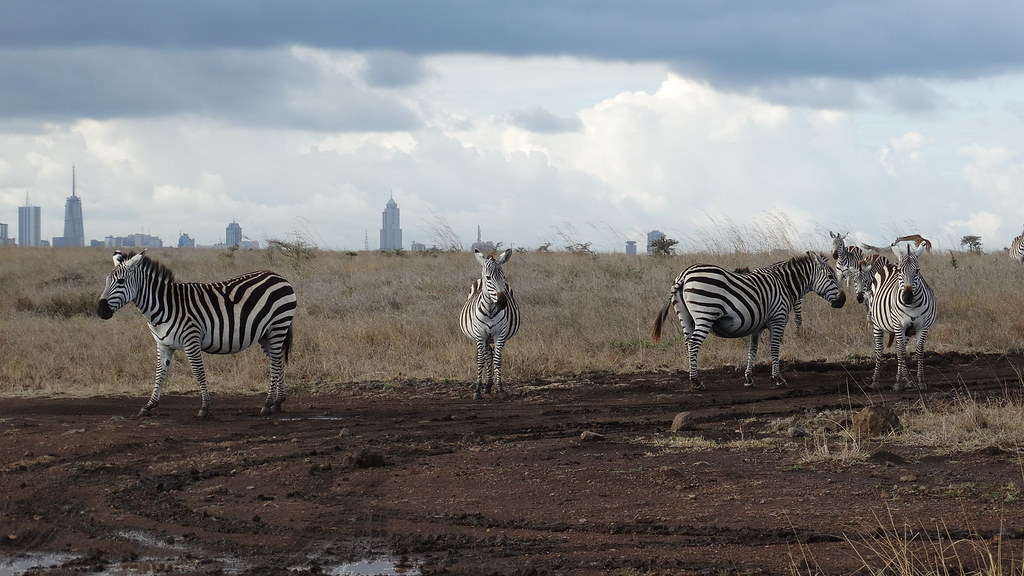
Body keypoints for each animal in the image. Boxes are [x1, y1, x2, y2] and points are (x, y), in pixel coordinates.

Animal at [97, 250, 297, 418]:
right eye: (106, 281)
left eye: (121, 282)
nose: (100, 310)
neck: (164, 307)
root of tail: (278, 276)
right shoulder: (163, 345)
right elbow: (160, 374)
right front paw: (149, 405)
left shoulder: (191, 341)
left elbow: (199, 372)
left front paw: (204, 408)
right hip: (265, 334)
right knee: (278, 361)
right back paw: (278, 402)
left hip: (278, 326)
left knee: (275, 364)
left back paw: (268, 404)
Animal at [459, 248, 521, 399]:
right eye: (489, 278)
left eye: (503, 277)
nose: (502, 303)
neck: (491, 310)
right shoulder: (480, 335)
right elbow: (480, 360)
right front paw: (477, 390)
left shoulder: (500, 335)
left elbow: (498, 359)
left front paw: (500, 388)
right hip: (483, 337)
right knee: (487, 355)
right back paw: (486, 386)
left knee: (491, 355)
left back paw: (489, 385)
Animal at [651, 251, 846, 389]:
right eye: (831, 277)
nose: (843, 300)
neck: (784, 284)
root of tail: (684, 275)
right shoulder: (778, 319)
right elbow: (774, 348)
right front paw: (778, 379)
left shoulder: (757, 324)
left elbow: (753, 350)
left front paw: (748, 378)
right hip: (705, 313)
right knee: (693, 344)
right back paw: (696, 381)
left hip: (686, 318)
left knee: (687, 343)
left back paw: (693, 377)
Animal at [868, 242, 937, 391]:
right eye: (900, 271)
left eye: (917, 271)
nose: (907, 297)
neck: (911, 306)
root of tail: (891, 264)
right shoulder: (899, 325)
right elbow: (901, 352)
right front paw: (903, 381)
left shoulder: (923, 326)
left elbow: (918, 351)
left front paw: (920, 381)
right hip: (877, 324)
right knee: (879, 349)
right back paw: (875, 380)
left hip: (907, 331)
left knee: (900, 348)